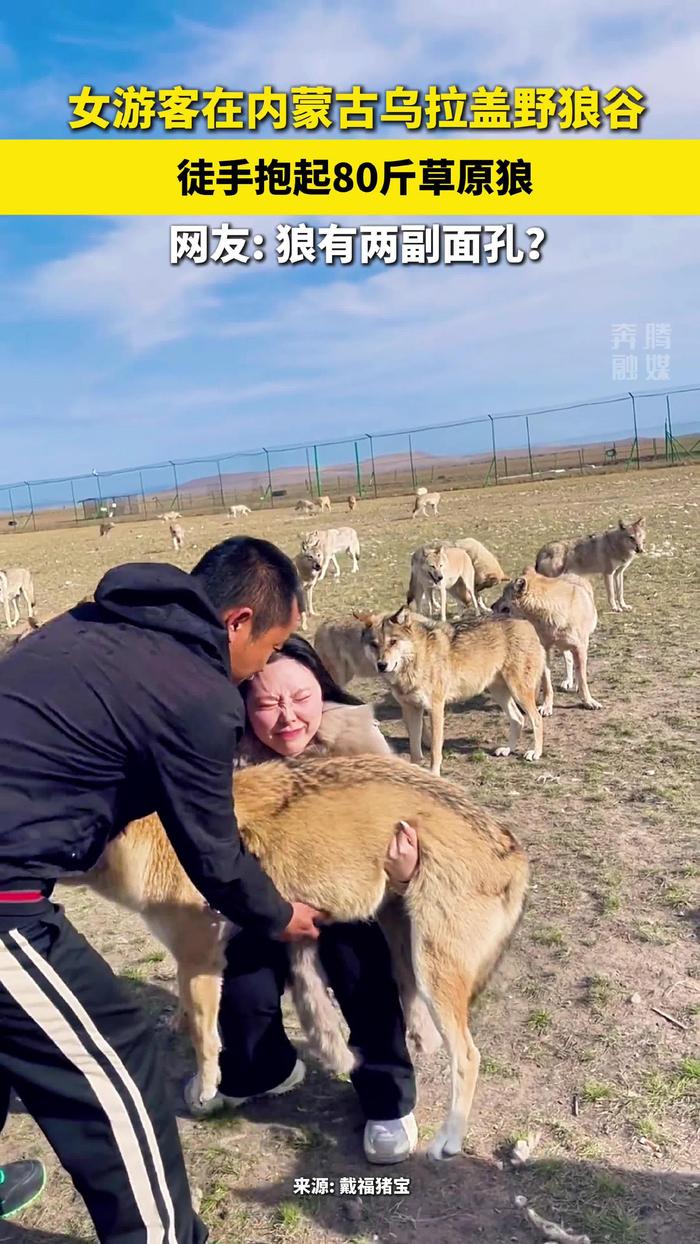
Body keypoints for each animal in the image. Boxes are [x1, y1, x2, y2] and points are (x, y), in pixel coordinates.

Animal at [73, 751, 529, 1159]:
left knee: (467, 1056)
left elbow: (204, 1037)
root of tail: (515, 850)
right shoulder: (195, 960)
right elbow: (190, 1014)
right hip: (406, 942)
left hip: (434, 970)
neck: (149, 833)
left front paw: (205, 1087)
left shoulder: (201, 959)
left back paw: (449, 1140)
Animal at [360, 607, 547, 771]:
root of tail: (525, 622)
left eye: (393, 642)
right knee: (518, 718)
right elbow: (414, 750)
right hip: (499, 692)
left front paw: (434, 774)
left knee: (536, 719)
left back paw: (535, 753)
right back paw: (507, 750)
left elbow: (435, 752)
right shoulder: (410, 710)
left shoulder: (435, 708)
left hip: (519, 692)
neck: (417, 659)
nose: (382, 665)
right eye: (374, 644)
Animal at [492, 569, 601, 716]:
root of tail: (570, 574)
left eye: (503, 595)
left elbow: (583, 679)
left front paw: (588, 702)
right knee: (568, 659)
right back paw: (567, 681)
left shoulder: (580, 649)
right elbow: (547, 684)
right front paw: (547, 706)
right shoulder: (545, 650)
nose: (492, 606)